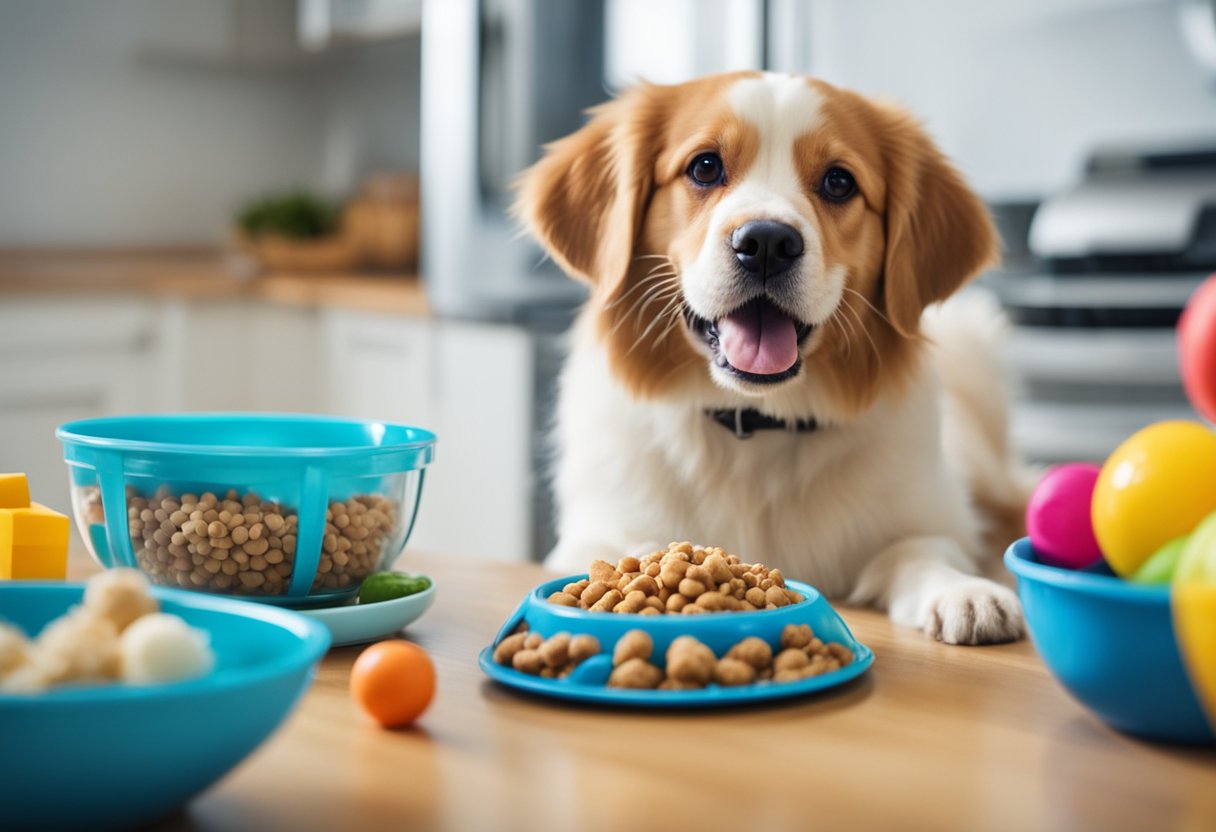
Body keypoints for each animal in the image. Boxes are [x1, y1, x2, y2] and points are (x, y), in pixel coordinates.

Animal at [513, 69, 1026, 642]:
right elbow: (615, 553)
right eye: (705, 166)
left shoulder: (931, 519)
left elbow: (923, 552)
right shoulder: (592, 532)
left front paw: (964, 592)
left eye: (839, 182)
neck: (755, 425)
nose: (766, 242)